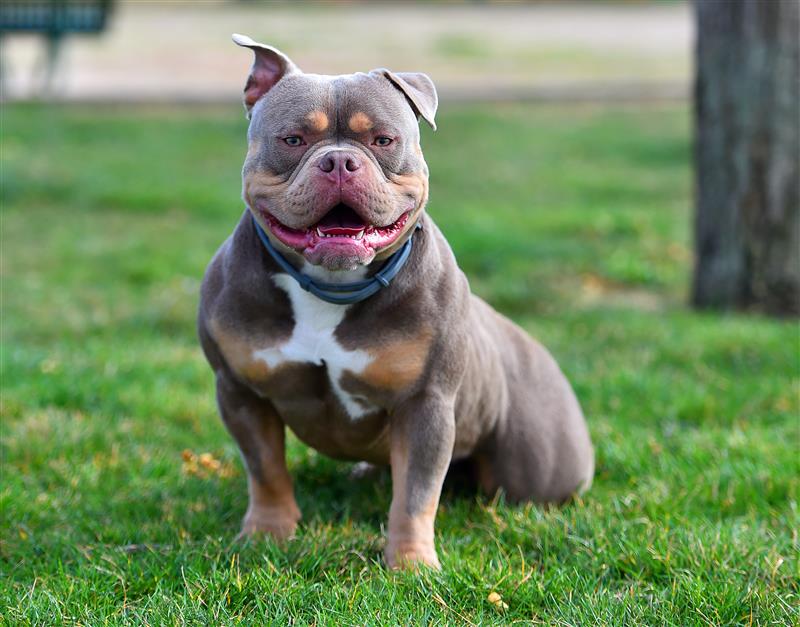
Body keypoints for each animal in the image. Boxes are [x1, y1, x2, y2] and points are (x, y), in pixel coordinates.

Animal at [197, 35, 592, 576]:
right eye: (293, 140)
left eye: (383, 141)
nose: (339, 162)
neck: (329, 287)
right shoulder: (240, 392)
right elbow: (266, 470)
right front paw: (267, 533)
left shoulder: (425, 405)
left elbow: (415, 494)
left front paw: (410, 565)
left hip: (537, 468)